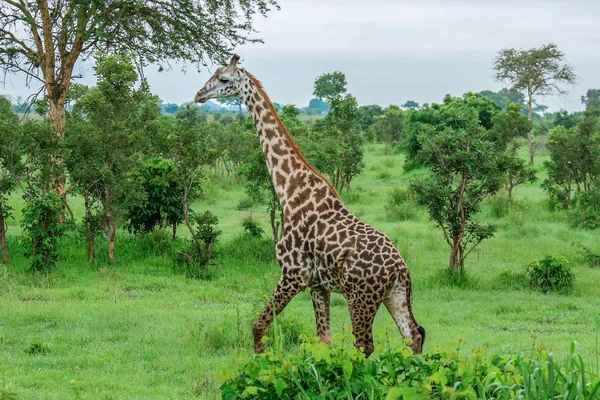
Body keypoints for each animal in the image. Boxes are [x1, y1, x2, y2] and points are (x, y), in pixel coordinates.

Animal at [195, 54, 424, 356]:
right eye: (213, 73)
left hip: (360, 296)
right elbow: (323, 339)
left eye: (223, 79)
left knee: (364, 345)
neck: (290, 191)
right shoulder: (317, 284)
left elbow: (258, 327)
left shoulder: (294, 273)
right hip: (395, 294)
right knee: (414, 334)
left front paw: (261, 362)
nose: (198, 95)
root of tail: (400, 267)